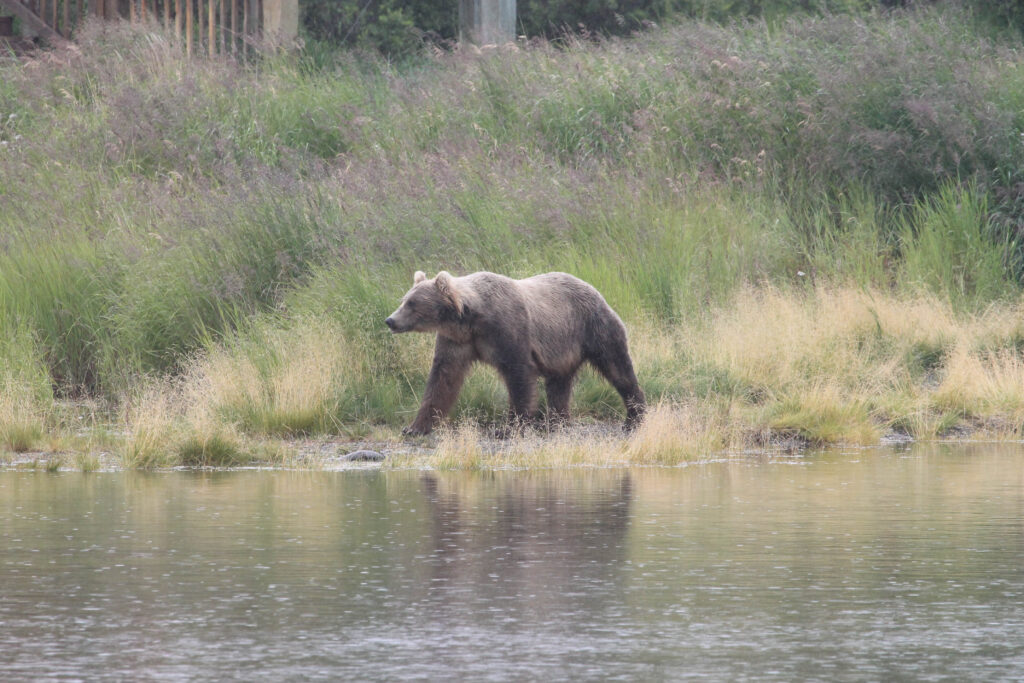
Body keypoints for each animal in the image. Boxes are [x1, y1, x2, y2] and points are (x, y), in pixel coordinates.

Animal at [385, 270, 646, 435]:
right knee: (559, 385)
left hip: (593, 328)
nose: (390, 320)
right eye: (404, 299)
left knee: (618, 369)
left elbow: (519, 375)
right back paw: (555, 422)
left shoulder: (507, 329)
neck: (469, 319)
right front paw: (414, 427)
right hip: (561, 348)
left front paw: (508, 427)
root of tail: (595, 290)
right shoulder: (456, 341)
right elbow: (442, 379)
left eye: (412, 304)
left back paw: (634, 417)